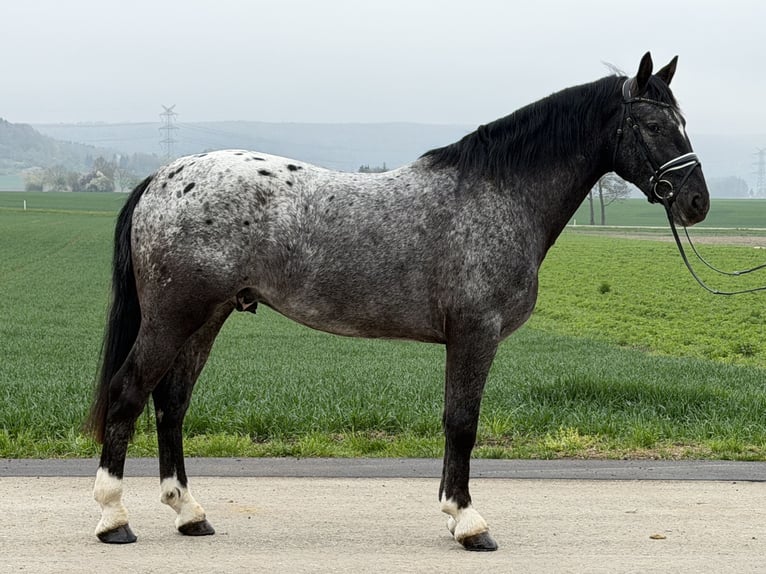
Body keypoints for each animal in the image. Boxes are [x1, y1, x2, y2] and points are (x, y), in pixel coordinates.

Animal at [87, 52, 709, 551]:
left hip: (207, 317)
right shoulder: (475, 333)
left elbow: (456, 422)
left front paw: (454, 514)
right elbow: (462, 422)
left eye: (682, 122)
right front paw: (468, 523)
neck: (498, 195)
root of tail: (163, 176)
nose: (697, 202)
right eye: (654, 123)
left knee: (171, 403)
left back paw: (189, 514)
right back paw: (113, 519)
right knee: (128, 393)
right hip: (174, 317)